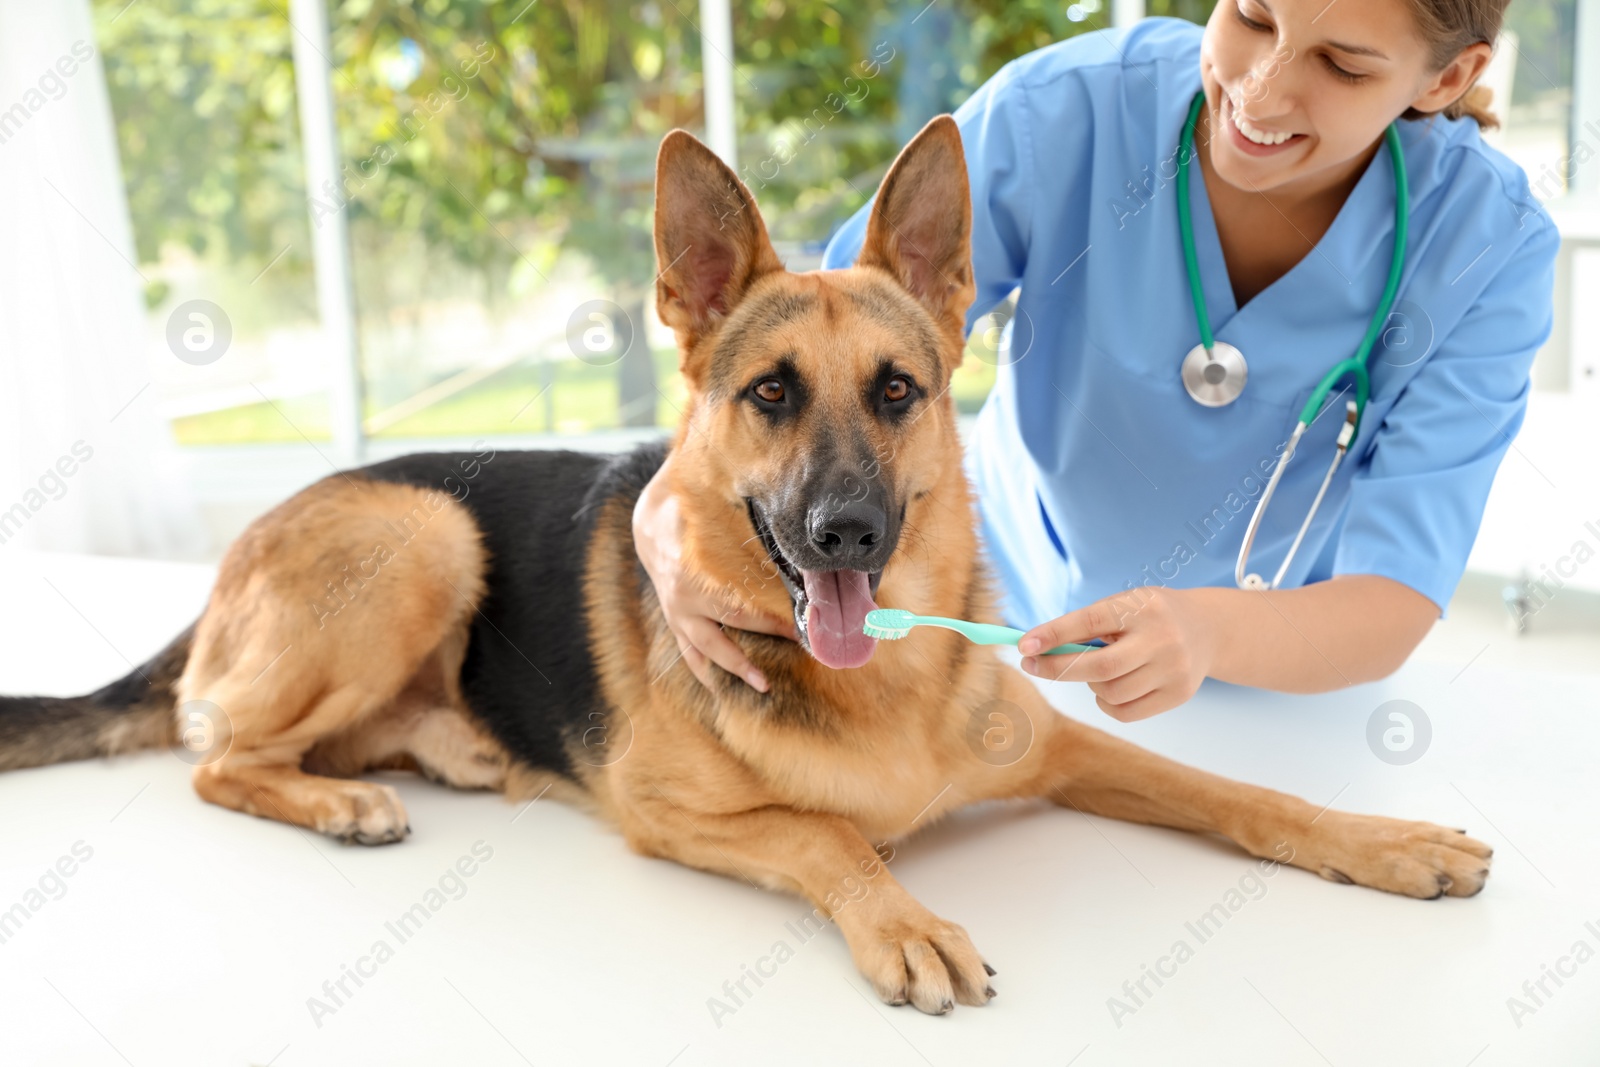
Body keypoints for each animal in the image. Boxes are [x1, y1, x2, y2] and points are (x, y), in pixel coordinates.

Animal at [6, 116, 1491, 1017]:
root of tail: (241, 550)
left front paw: (1385, 839)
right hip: (427, 530)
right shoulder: (667, 812)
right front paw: (903, 914)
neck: (875, 684)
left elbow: (1233, 787)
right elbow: (827, 829)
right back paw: (338, 800)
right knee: (214, 750)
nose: (845, 534)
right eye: (770, 392)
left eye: (896, 391)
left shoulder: (1066, 747)